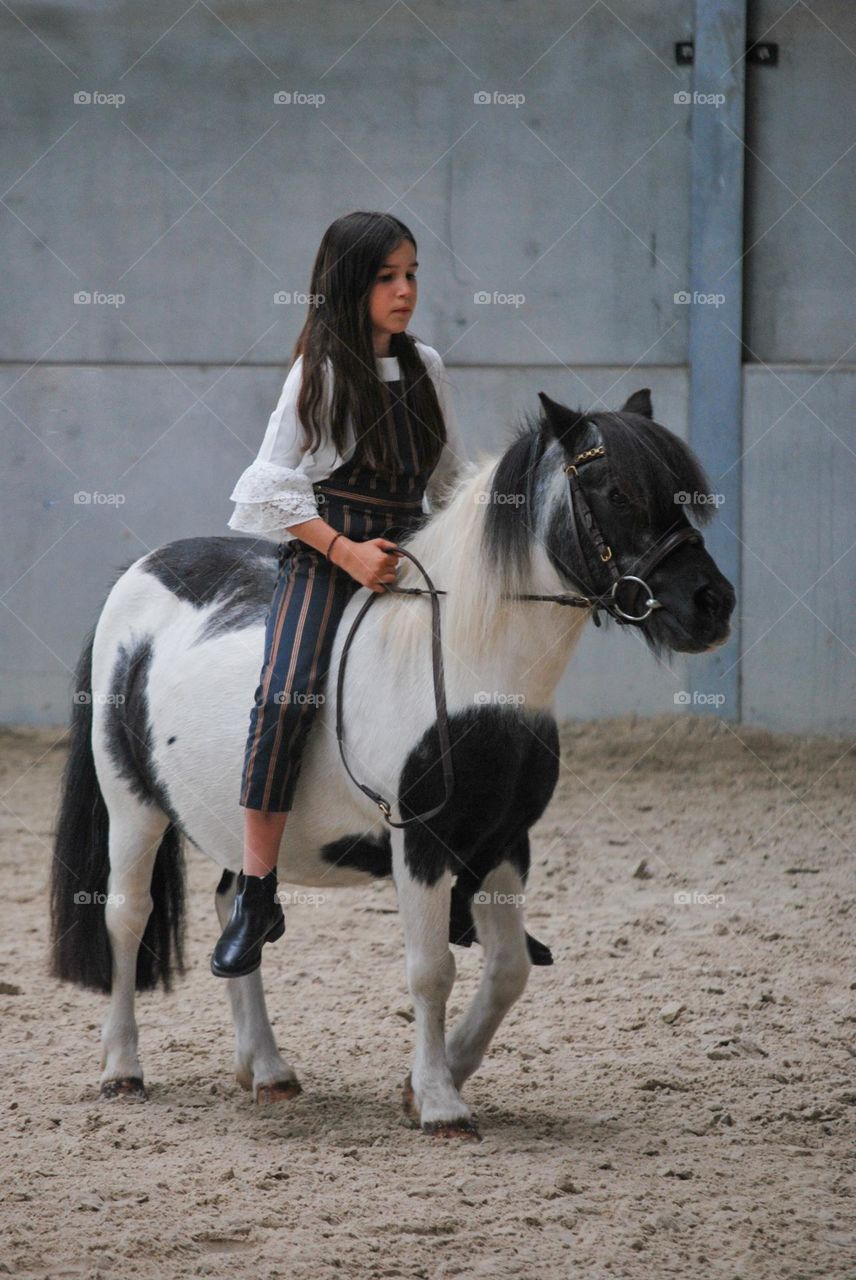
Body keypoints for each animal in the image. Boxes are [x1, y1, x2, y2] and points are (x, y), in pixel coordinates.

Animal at [50, 389, 737, 1141]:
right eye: (615, 490)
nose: (712, 604)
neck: (473, 670)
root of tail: (138, 575)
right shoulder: (422, 842)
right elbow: (432, 969)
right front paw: (439, 1100)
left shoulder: (504, 842)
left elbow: (508, 969)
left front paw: (438, 1078)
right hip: (133, 806)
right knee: (128, 914)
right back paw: (122, 1067)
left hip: (237, 821)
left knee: (238, 908)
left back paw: (267, 1069)